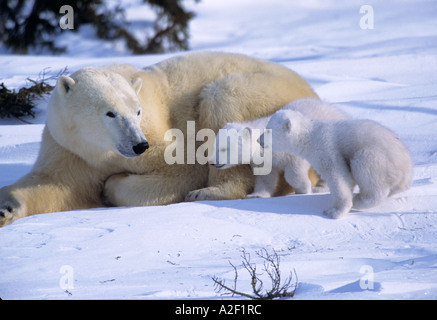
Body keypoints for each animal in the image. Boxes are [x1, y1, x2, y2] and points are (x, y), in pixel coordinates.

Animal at [0, 51, 316, 226]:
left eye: (137, 110)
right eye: (110, 113)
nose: (138, 145)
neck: (99, 150)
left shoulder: (157, 134)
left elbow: (183, 167)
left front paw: (111, 186)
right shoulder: (69, 148)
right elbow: (54, 185)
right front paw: (6, 209)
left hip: (261, 93)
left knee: (223, 100)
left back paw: (208, 192)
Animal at [209, 98, 350, 198]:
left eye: (224, 148)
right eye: (215, 145)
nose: (212, 162)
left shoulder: (292, 148)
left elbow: (294, 171)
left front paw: (304, 189)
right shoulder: (264, 160)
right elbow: (265, 176)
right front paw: (256, 195)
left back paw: (320, 187)